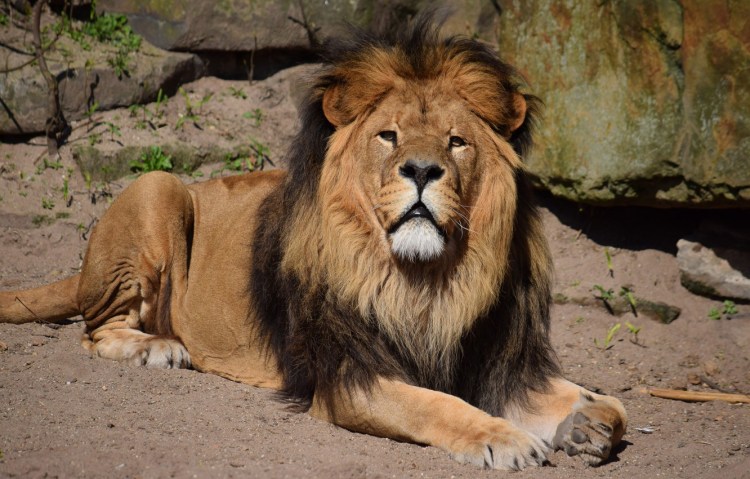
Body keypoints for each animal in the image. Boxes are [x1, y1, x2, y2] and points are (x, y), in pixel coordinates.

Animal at [0, 16, 626, 470]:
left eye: (456, 142)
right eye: (389, 136)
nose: (423, 170)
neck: (426, 281)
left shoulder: (498, 363)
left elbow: (611, 407)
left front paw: (584, 422)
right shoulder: (351, 376)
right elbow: (437, 404)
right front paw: (506, 437)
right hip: (159, 188)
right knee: (93, 330)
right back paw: (158, 348)